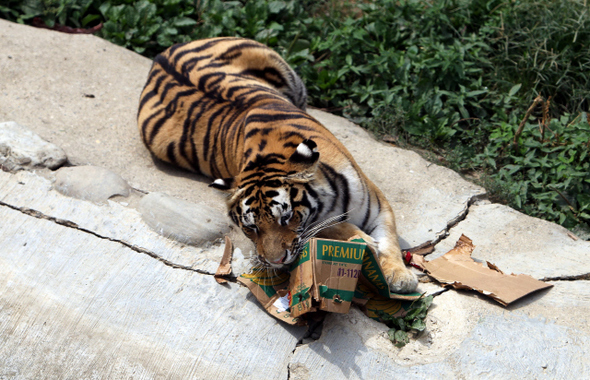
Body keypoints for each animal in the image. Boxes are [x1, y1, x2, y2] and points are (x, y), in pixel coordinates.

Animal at [137, 37, 418, 294]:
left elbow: (389, 239)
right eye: (251, 228)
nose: (275, 261)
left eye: (287, 217)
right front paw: (362, 240)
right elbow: (329, 225)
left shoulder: (379, 206)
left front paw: (400, 275)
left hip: (290, 76)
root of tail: (163, 54)